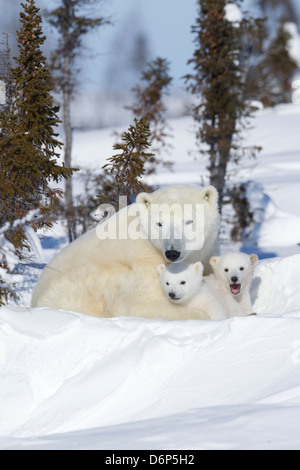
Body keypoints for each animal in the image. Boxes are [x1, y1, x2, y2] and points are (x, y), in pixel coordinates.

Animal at [31, 184, 220, 320]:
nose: (172, 252)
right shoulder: (140, 270)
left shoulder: (207, 252)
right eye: (159, 223)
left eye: (188, 221)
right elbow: (140, 306)